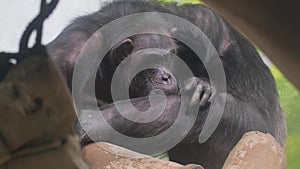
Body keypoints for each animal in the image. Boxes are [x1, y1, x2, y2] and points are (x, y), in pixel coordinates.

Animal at [46, 0, 286, 168]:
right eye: (153, 59)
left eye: (171, 57)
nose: (167, 76)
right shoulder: (67, 51)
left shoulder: (195, 23)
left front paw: (203, 86)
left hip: (256, 135)